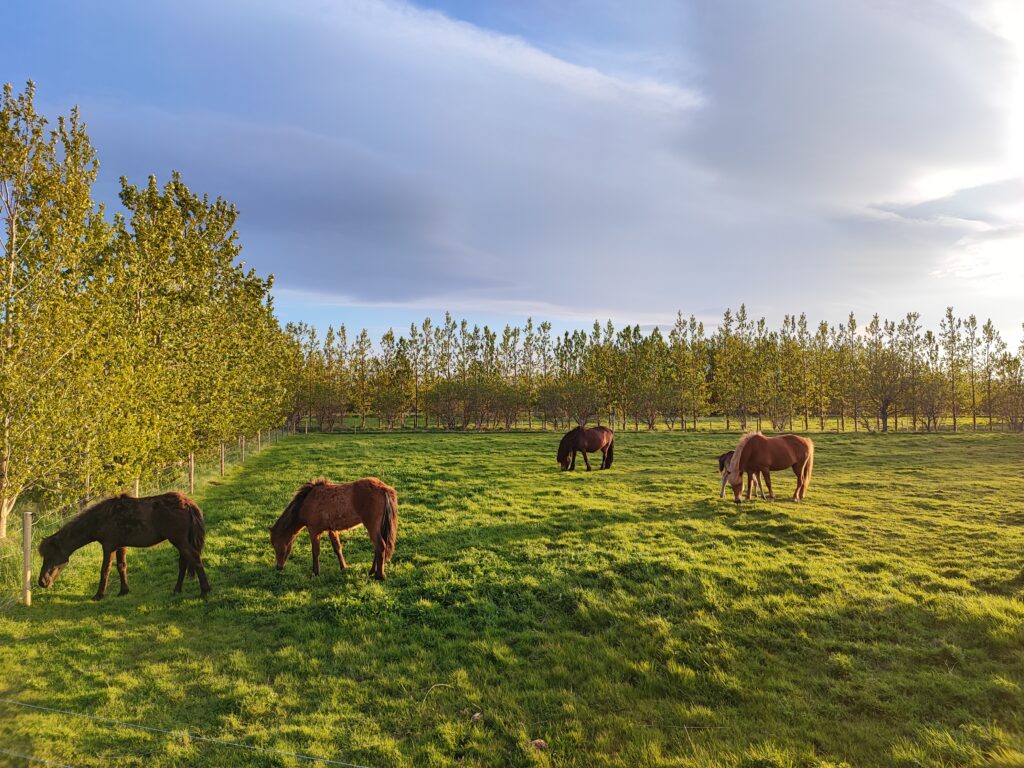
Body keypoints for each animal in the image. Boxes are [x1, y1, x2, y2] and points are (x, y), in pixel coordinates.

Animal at [37, 493, 209, 602]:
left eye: (50, 556)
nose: (42, 582)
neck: (102, 519)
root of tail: (187, 504)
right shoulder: (120, 546)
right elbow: (121, 567)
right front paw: (123, 591)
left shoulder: (109, 547)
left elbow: (105, 571)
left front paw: (99, 595)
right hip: (180, 541)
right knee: (184, 563)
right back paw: (177, 590)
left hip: (179, 541)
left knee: (194, 559)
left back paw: (205, 591)